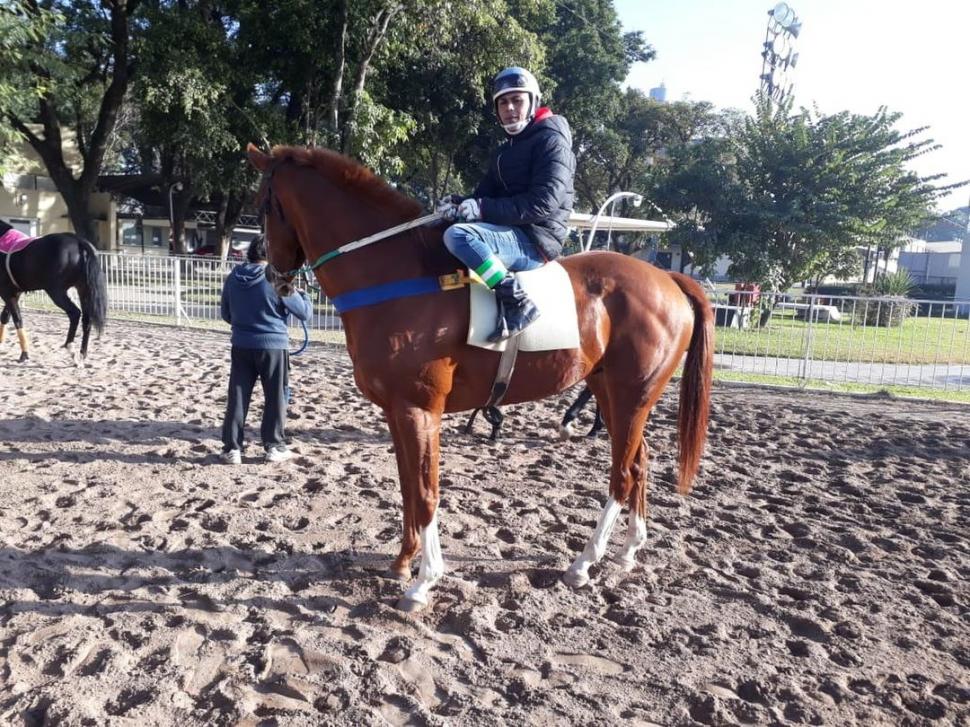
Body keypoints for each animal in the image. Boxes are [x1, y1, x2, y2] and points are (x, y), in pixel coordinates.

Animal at [246, 145, 712, 612]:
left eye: (264, 205)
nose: (272, 277)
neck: (397, 277)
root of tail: (668, 278)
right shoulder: (396, 412)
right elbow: (408, 487)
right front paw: (403, 562)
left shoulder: (419, 410)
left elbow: (426, 492)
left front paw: (424, 581)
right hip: (611, 393)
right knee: (639, 461)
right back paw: (629, 549)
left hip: (630, 395)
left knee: (622, 475)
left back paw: (584, 563)